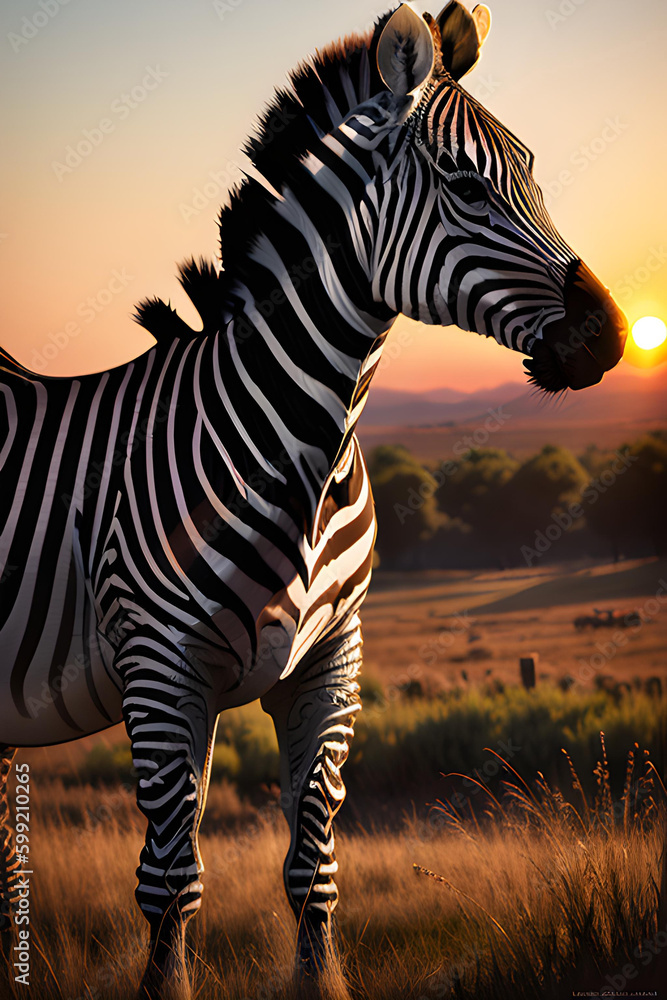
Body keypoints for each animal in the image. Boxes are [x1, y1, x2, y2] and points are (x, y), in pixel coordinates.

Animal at [0, 2, 627, 997]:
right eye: (464, 185)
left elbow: (312, 869)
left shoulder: (330, 661)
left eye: (531, 174)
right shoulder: (160, 665)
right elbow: (169, 882)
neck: (304, 451)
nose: (608, 339)